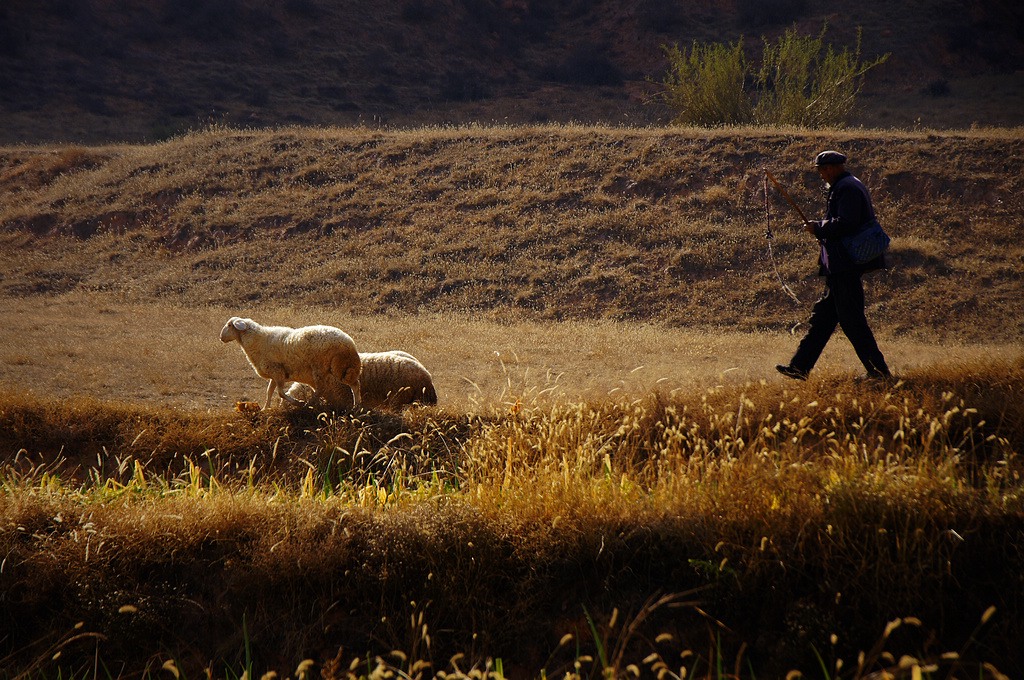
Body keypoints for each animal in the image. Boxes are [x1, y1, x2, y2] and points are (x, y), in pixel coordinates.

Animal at [218, 317, 362, 409]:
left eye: (229, 325)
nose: (221, 338)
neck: (258, 340)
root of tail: (349, 343)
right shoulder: (275, 373)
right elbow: (269, 392)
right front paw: (265, 408)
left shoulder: (278, 372)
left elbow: (281, 393)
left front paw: (297, 402)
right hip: (335, 368)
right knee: (327, 388)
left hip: (332, 367)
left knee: (349, 385)